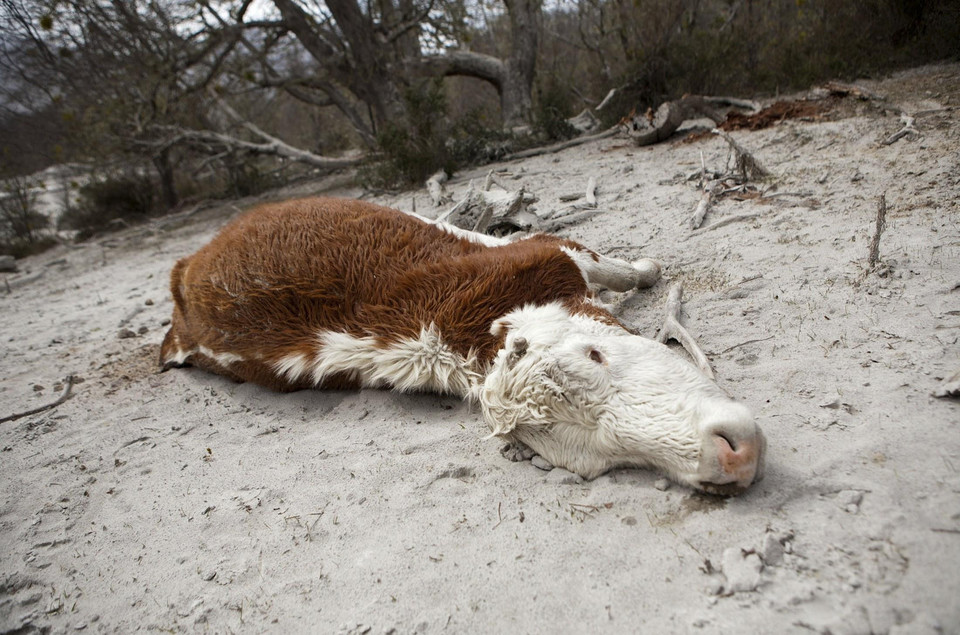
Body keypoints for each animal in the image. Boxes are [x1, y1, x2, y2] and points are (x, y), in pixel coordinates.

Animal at [163, 196, 764, 494]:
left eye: (596, 356)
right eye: (596, 457)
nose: (734, 456)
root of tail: (184, 272)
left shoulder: (548, 252)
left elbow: (616, 267)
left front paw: (648, 268)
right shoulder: (547, 250)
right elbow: (614, 267)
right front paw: (648, 269)